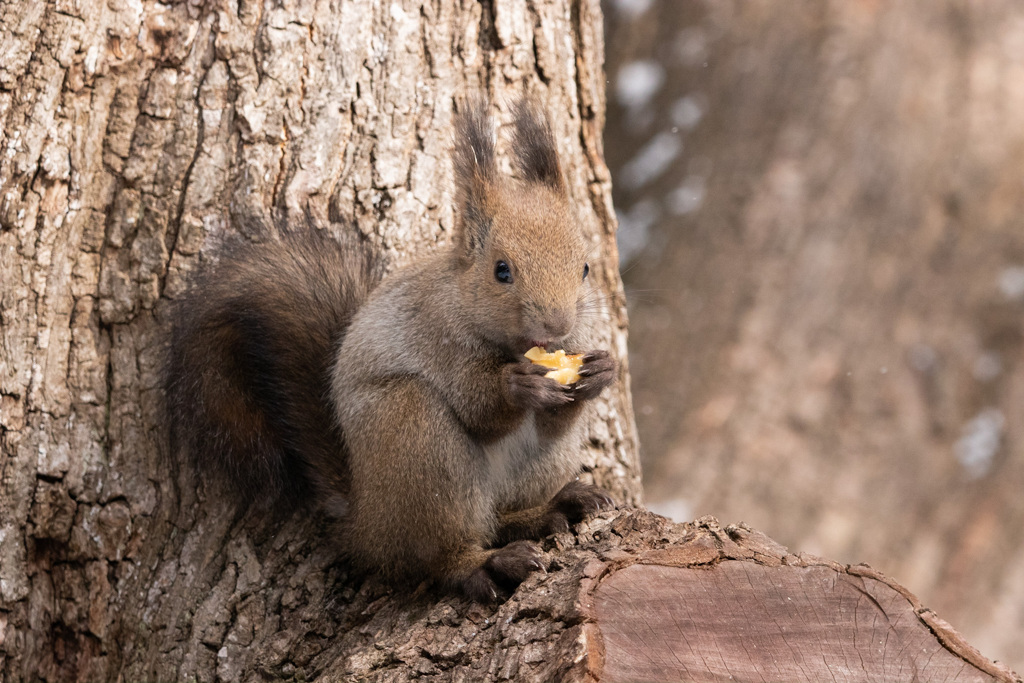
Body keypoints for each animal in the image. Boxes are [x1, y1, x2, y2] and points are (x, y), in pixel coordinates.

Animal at [165, 98, 614, 602]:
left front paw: (600, 372)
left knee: (501, 516)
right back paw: (486, 563)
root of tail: (367, 520)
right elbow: (479, 408)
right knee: (436, 554)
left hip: (534, 467)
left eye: (585, 267)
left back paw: (552, 507)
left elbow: (558, 419)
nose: (556, 327)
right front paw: (517, 385)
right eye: (502, 270)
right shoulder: (438, 337)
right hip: (414, 438)